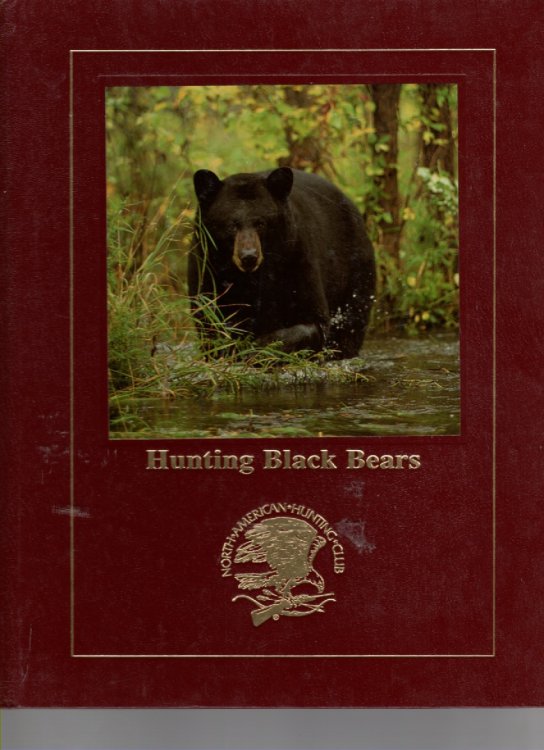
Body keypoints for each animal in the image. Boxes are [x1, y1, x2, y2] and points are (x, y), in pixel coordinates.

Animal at [188, 166, 375, 359]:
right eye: (232, 225)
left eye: (261, 223)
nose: (249, 257)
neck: (250, 278)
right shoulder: (207, 266)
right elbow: (210, 320)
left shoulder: (296, 259)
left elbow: (313, 322)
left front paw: (258, 347)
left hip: (355, 270)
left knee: (351, 319)